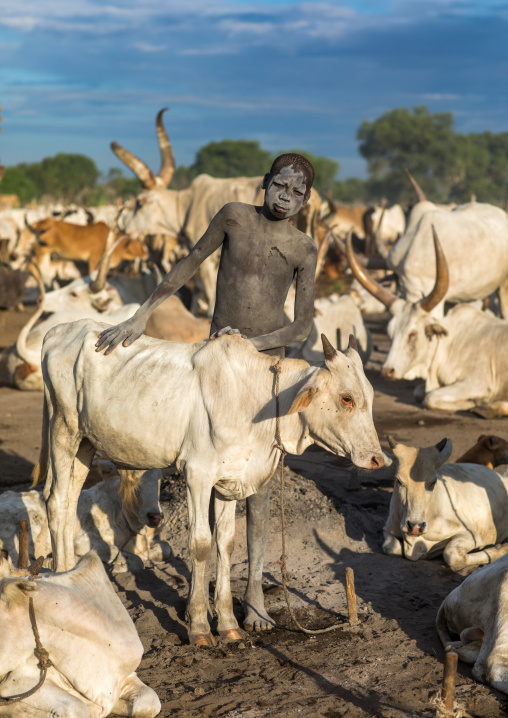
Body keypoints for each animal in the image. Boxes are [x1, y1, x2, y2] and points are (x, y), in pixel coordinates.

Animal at [0, 465, 170, 573]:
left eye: (160, 479)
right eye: (131, 480)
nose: (155, 517)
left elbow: (166, 548)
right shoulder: (83, 541)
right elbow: (127, 556)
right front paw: (118, 566)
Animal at [35, 321, 383, 645]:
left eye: (369, 396)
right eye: (346, 398)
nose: (377, 458)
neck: (255, 402)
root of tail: (58, 330)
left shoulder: (230, 480)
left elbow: (226, 543)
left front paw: (228, 624)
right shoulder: (197, 475)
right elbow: (201, 544)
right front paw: (200, 626)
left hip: (85, 443)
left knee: (69, 502)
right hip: (64, 430)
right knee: (56, 502)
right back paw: (61, 581)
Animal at [382, 435, 508, 570]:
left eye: (433, 482)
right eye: (399, 481)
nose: (415, 527)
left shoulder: (471, 534)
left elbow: (451, 555)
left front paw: (500, 550)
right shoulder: (388, 528)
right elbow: (390, 547)